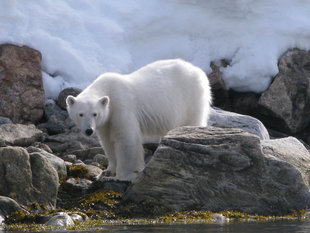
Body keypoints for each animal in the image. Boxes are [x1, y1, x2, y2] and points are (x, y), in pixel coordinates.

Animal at [65, 59, 211, 181]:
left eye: (95, 114)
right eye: (80, 114)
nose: (89, 130)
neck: (108, 89)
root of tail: (198, 71)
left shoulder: (121, 107)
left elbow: (126, 139)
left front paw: (124, 175)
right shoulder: (106, 122)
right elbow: (107, 142)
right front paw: (108, 171)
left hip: (191, 99)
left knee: (192, 120)